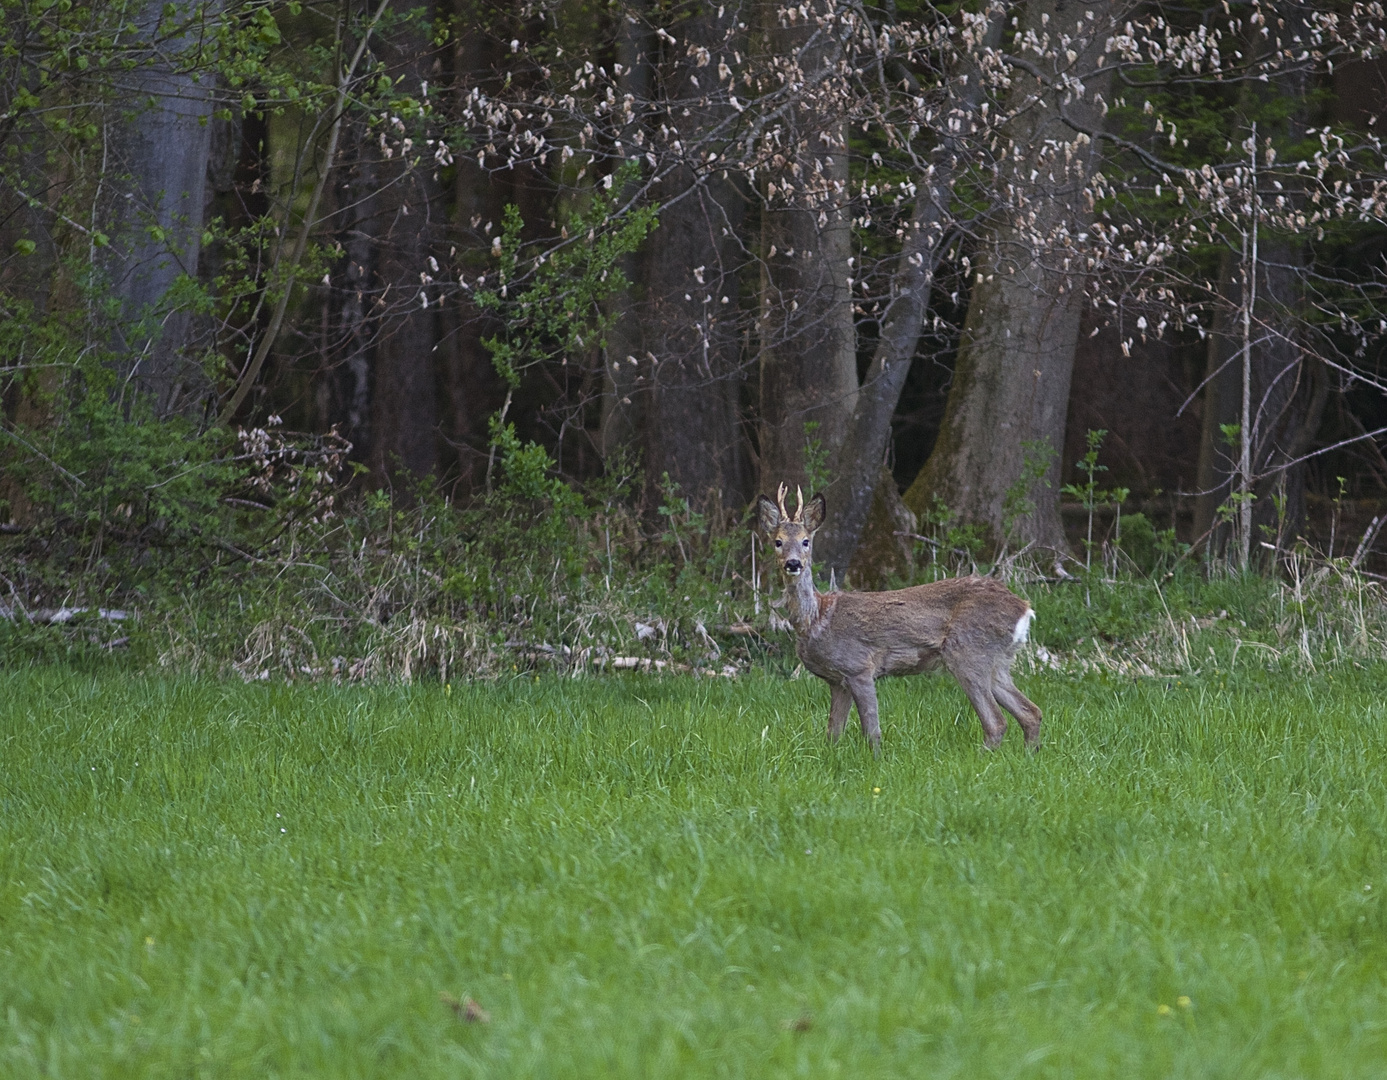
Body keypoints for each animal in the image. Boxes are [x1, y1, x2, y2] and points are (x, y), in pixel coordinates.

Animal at [760, 488, 1043, 754]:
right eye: (778, 542)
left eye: (806, 541)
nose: (793, 563)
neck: (817, 618)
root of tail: (1024, 609)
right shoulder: (837, 680)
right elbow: (832, 733)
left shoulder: (858, 666)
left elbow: (871, 731)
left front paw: (875, 761)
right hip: (998, 661)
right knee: (1031, 712)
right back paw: (1029, 755)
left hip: (968, 652)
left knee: (996, 722)